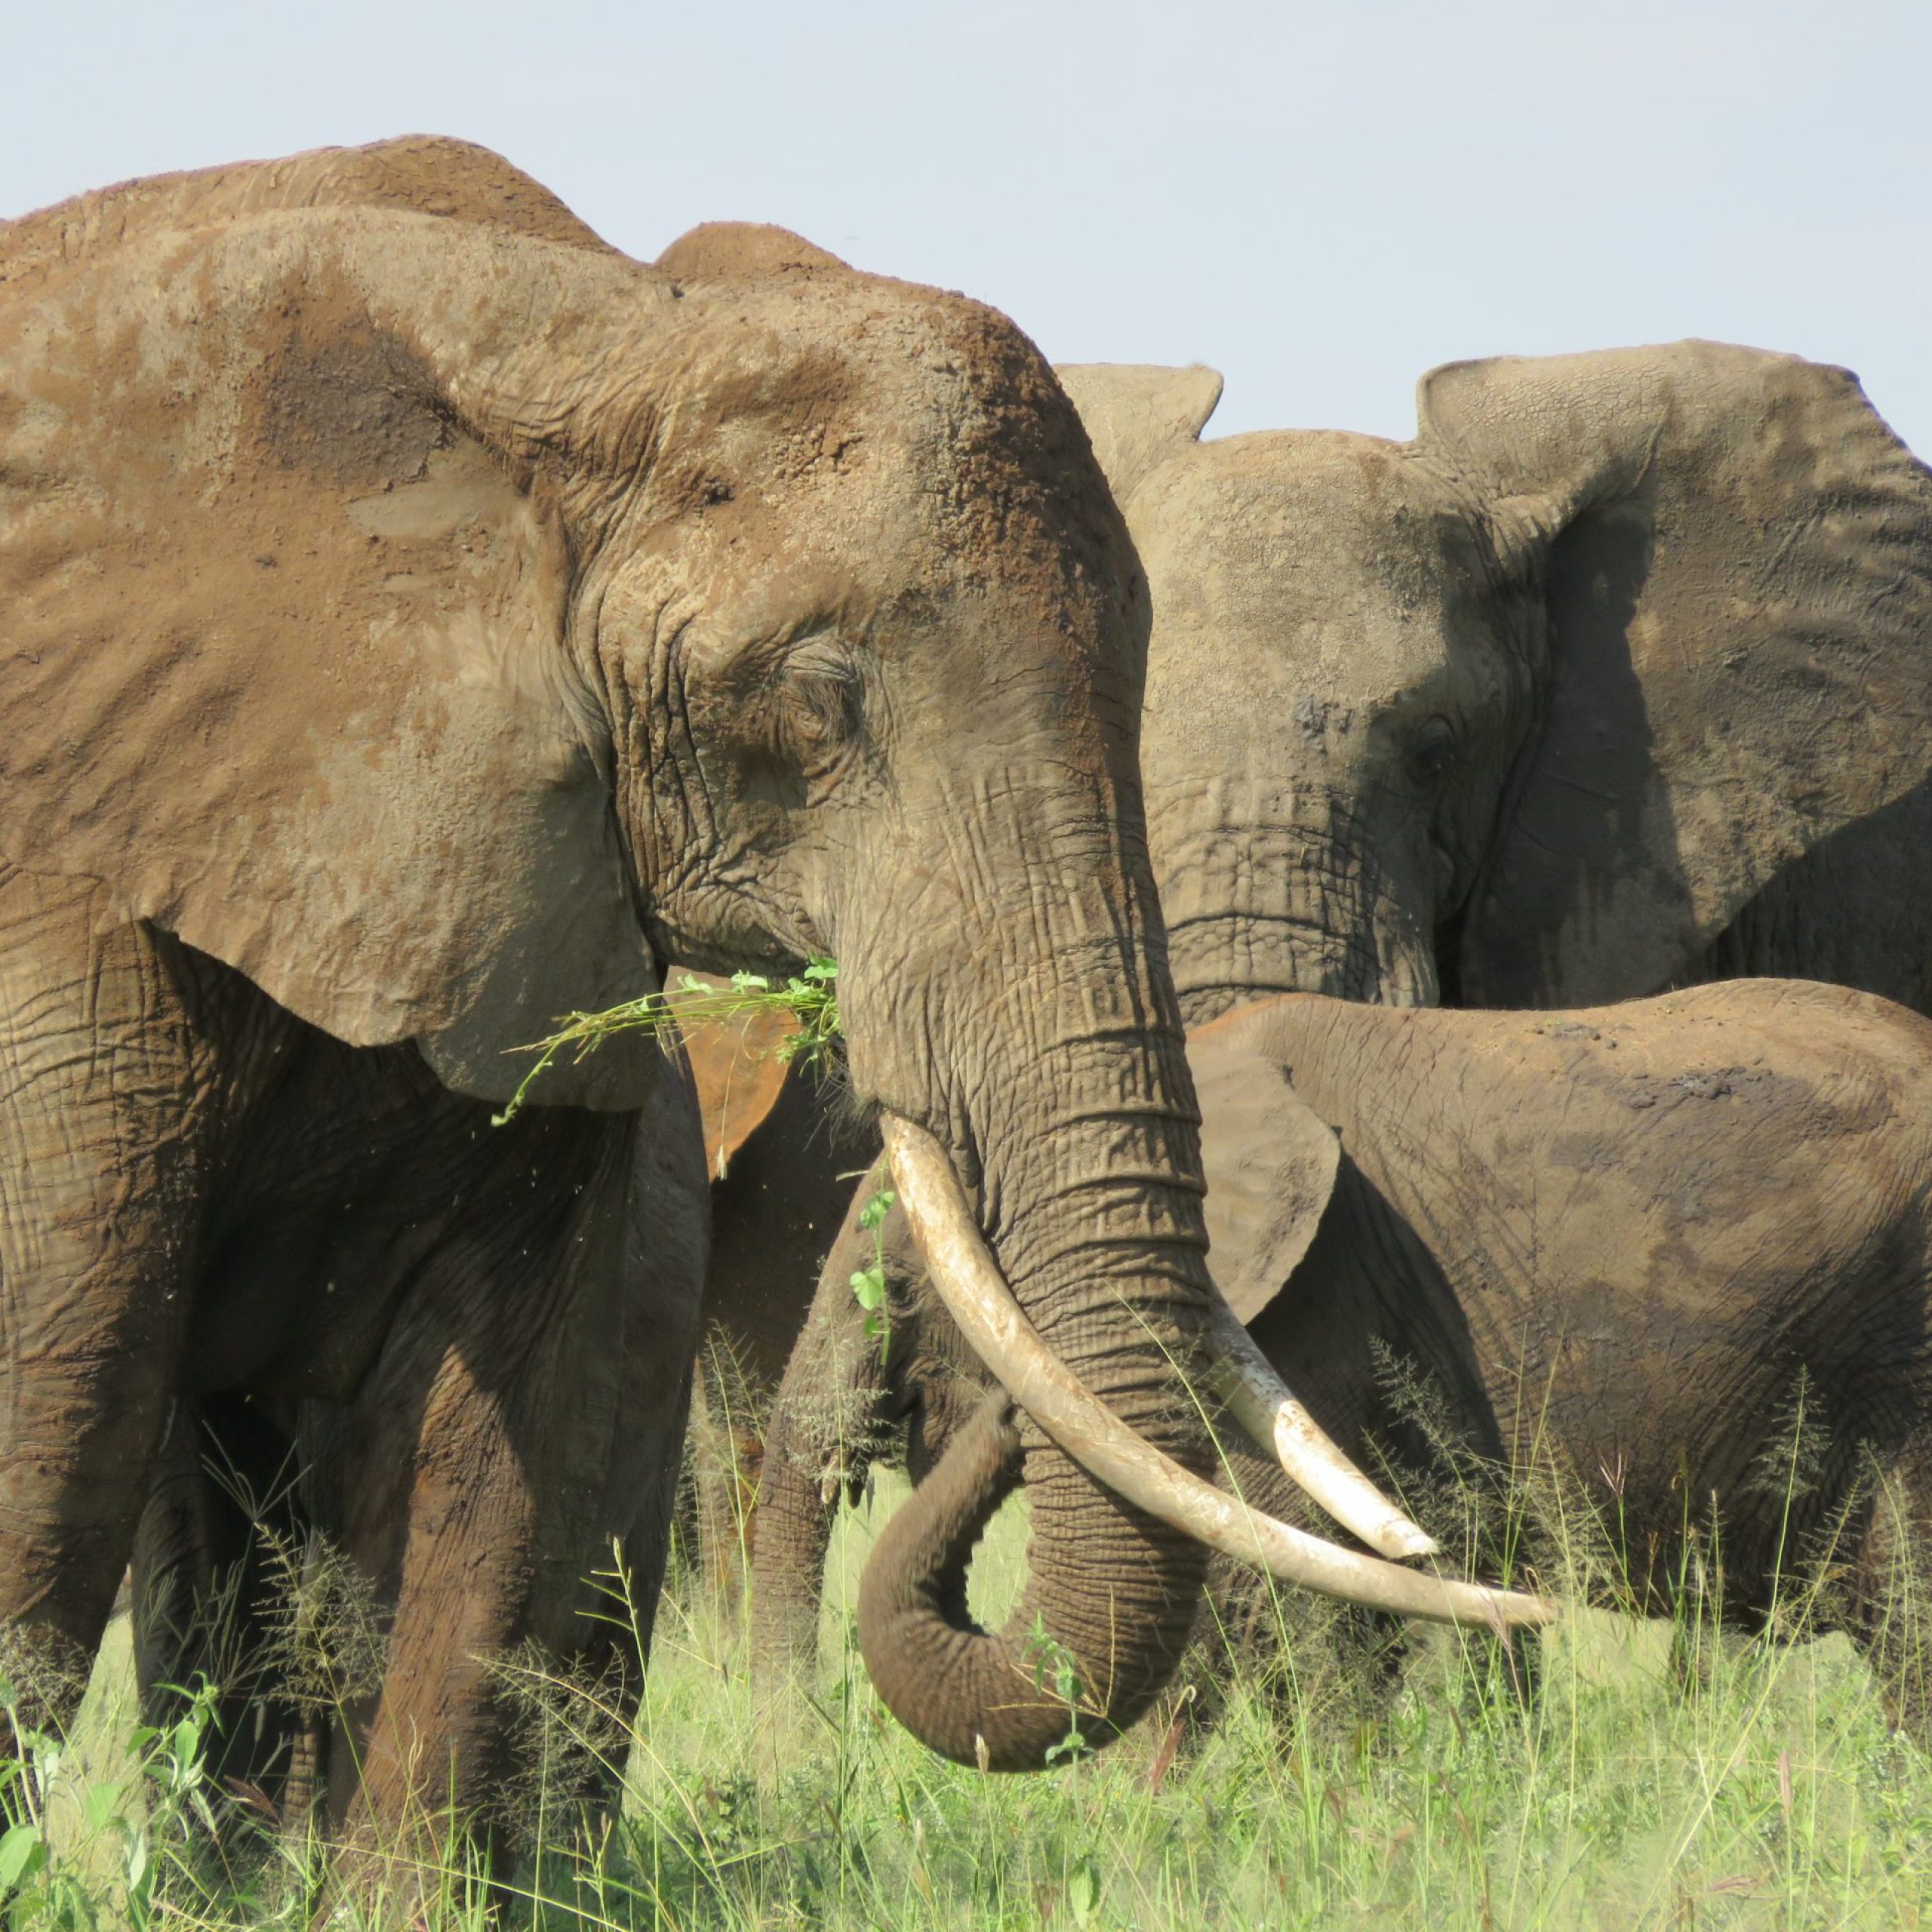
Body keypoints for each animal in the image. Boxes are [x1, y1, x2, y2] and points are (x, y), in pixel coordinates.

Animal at [2, 132, 1463, 1847]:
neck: (595, 340)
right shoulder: (68, 875)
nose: (990, 1400)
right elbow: (57, 1395)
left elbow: (488, 1429)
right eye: (822, 701)